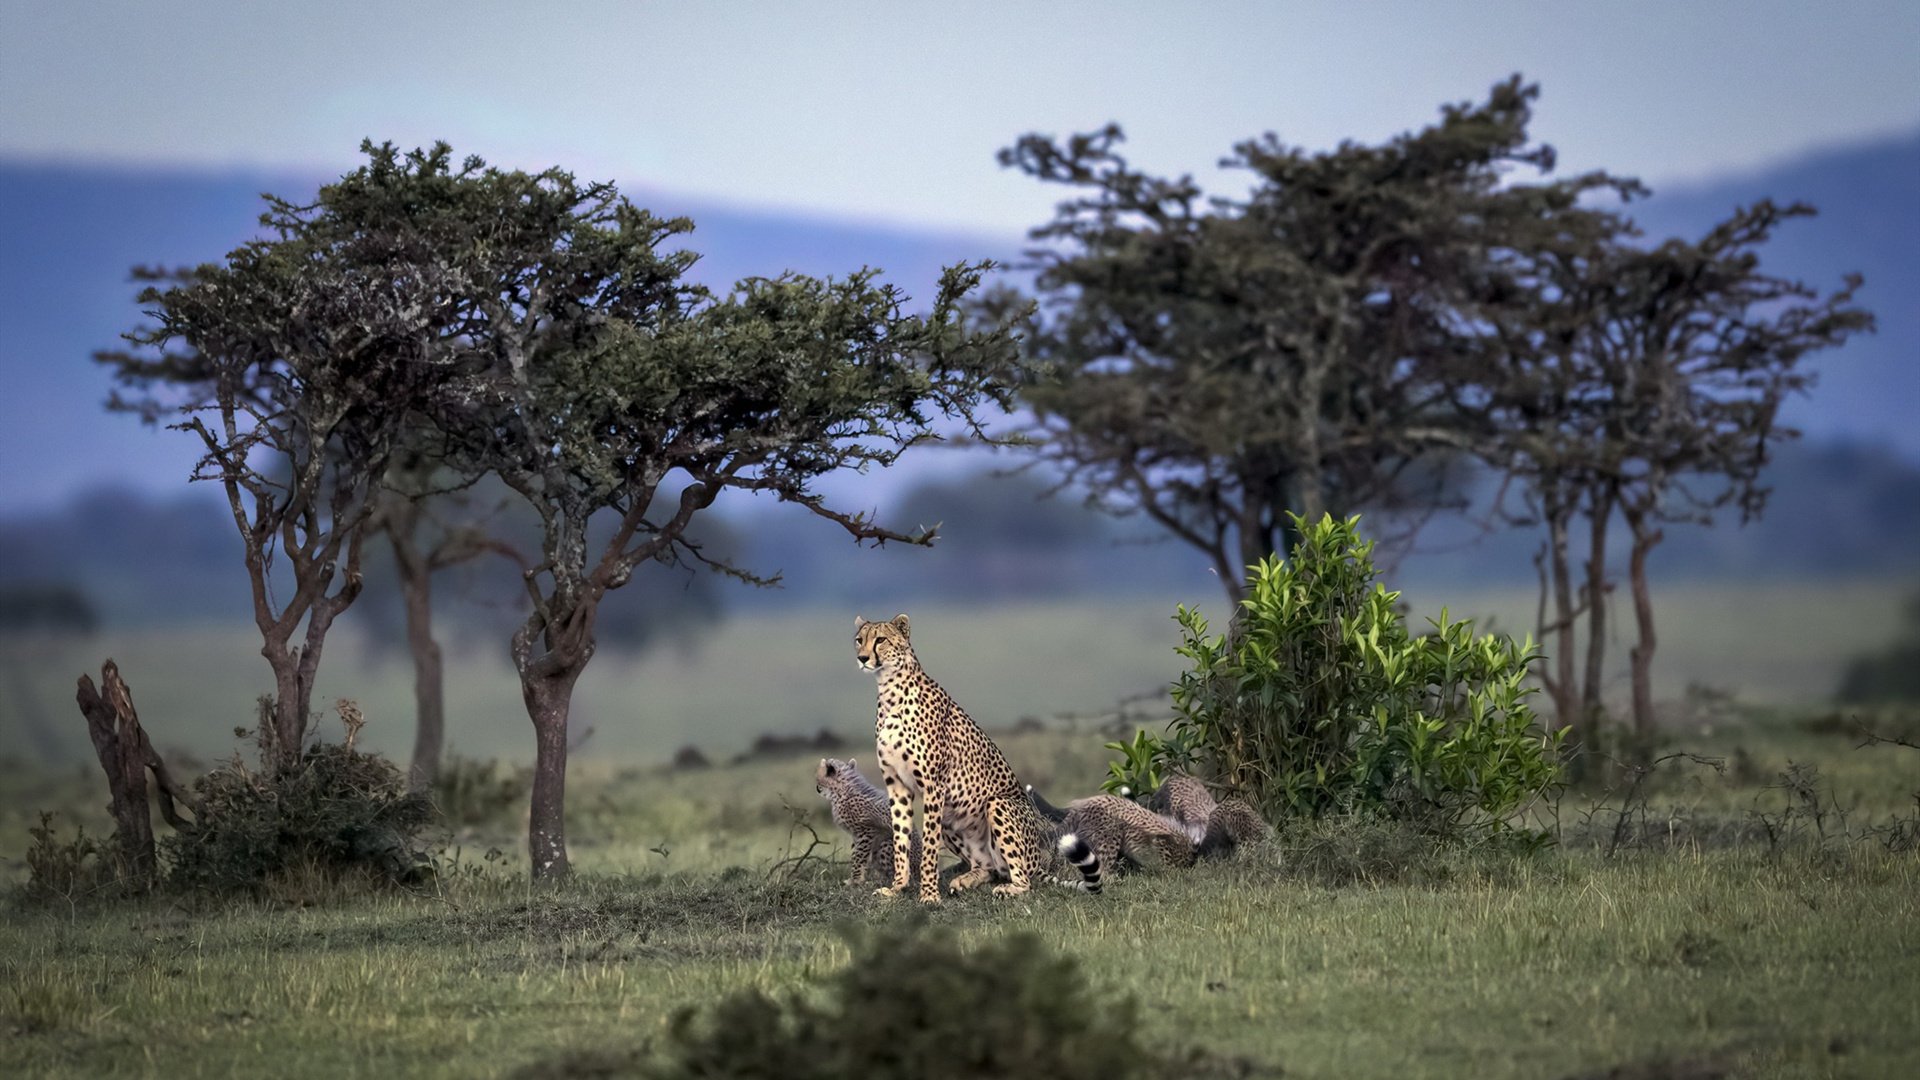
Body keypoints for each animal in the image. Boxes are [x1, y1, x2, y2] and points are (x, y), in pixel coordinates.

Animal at [856, 614, 1082, 899]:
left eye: (881, 640)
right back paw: (967, 880)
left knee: (1024, 879)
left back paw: (1009, 888)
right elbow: (900, 840)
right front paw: (897, 888)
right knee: (989, 867)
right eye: (859, 640)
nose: (862, 658)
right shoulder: (897, 785)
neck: (890, 690)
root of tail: (1036, 861)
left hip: (997, 804)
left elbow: (928, 846)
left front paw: (929, 895)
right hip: (953, 819)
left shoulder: (934, 786)